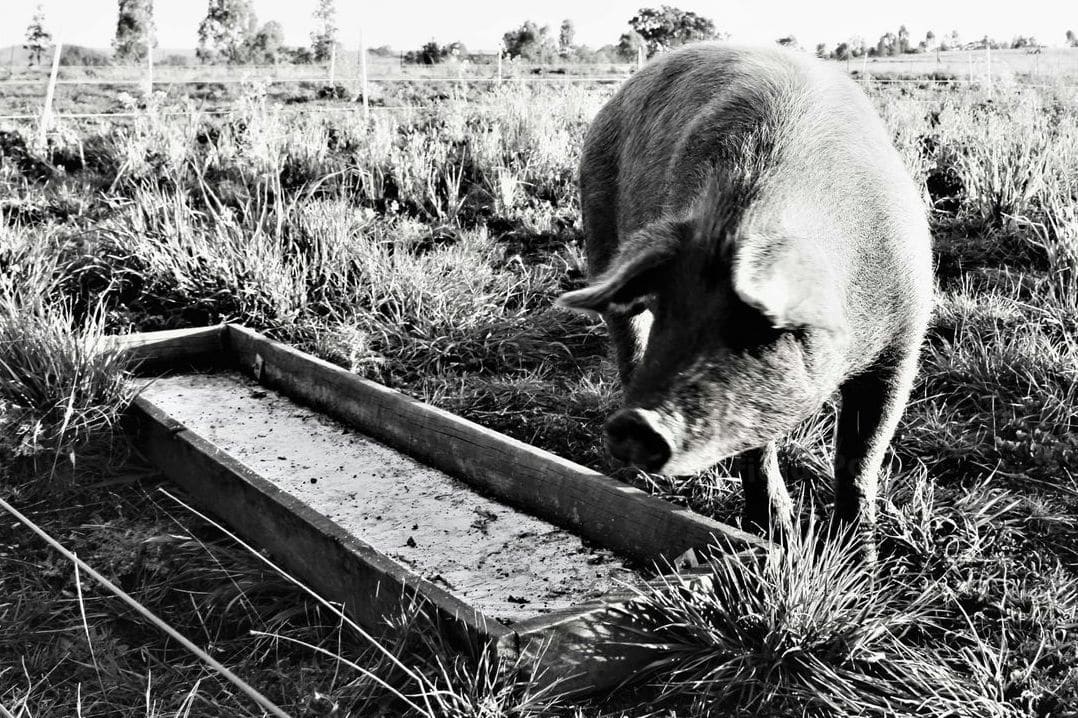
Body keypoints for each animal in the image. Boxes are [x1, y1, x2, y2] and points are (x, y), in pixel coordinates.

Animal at [556, 44, 933, 559]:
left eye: (757, 324)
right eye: (672, 309)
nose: (638, 423)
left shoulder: (903, 341)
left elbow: (861, 453)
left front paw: (860, 559)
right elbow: (758, 447)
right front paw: (777, 536)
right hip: (600, 235)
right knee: (626, 337)